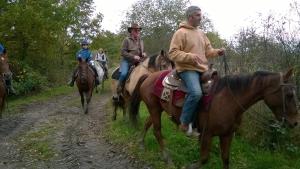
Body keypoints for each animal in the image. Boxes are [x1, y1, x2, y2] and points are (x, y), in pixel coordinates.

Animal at [130, 68, 298, 169]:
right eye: (289, 95)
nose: (295, 122)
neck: (229, 99)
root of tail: (149, 75)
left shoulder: (227, 135)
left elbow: (225, 158)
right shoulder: (207, 134)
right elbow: (204, 158)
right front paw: (189, 166)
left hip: (156, 109)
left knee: (147, 124)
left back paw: (141, 143)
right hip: (154, 108)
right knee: (157, 131)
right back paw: (167, 158)